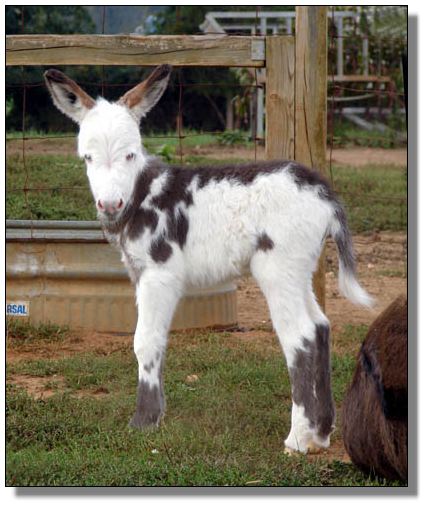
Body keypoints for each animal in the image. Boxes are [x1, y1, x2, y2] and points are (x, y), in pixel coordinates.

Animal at [44, 65, 373, 454]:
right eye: (87, 158)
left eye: (130, 154)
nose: (110, 206)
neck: (142, 193)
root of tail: (323, 192)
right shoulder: (140, 275)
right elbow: (153, 340)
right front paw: (154, 417)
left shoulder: (160, 275)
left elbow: (145, 340)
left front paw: (143, 422)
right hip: (300, 270)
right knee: (320, 328)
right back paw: (320, 433)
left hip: (276, 270)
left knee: (300, 336)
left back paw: (297, 438)